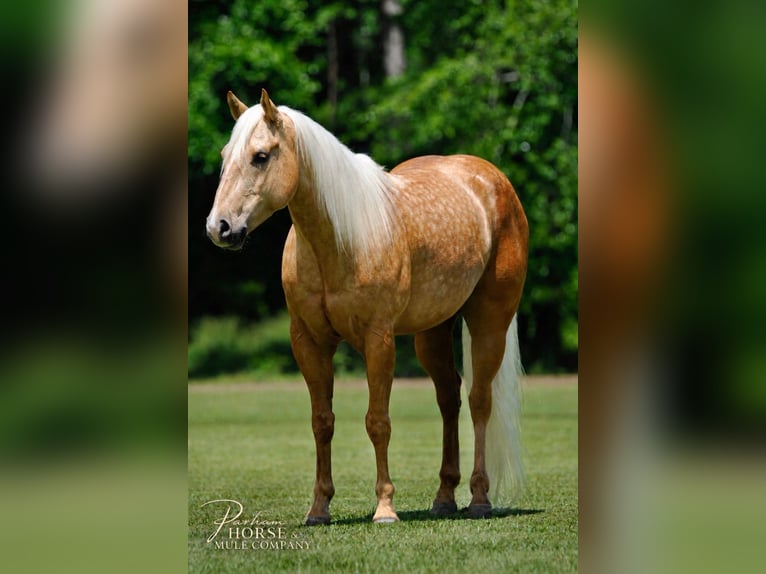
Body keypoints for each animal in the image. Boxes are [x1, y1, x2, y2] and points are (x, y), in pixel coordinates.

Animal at [206, 89, 529, 524]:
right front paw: (319, 508)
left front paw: (385, 508)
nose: (219, 227)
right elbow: (322, 422)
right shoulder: (309, 342)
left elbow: (378, 422)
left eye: (260, 156)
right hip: (431, 332)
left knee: (479, 401)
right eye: (226, 155)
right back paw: (444, 497)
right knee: (449, 399)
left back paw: (479, 498)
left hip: (489, 322)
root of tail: (491, 179)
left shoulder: (378, 340)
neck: (338, 240)